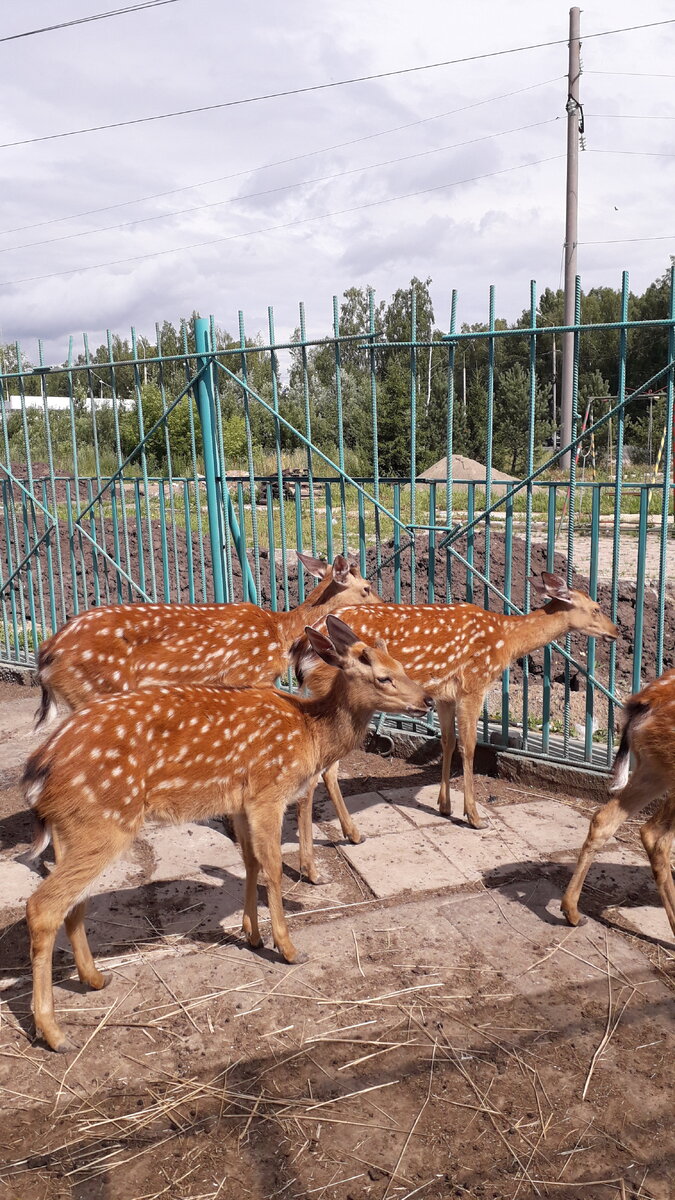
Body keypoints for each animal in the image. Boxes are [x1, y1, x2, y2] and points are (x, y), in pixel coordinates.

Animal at [24, 619, 429, 1051]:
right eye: (384, 676)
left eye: (402, 664)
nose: (426, 700)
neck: (310, 734)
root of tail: (38, 770)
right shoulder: (269, 792)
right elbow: (272, 866)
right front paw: (287, 948)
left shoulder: (240, 801)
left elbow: (249, 861)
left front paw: (251, 935)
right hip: (103, 822)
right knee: (43, 905)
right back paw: (55, 1034)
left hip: (73, 829)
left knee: (73, 902)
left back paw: (96, 979)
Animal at [290, 571, 614, 883]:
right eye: (596, 607)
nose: (615, 632)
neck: (506, 640)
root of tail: (301, 650)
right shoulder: (474, 683)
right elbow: (468, 746)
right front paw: (474, 816)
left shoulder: (444, 694)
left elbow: (447, 741)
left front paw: (444, 805)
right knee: (323, 770)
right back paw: (338, 847)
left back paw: (347, 836)